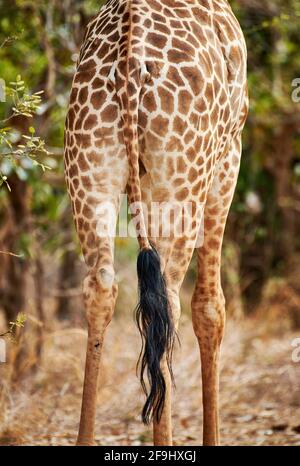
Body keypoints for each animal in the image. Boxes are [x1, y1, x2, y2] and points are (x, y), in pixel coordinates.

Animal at [63, 0, 248, 446]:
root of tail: (129, 64)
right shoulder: (229, 156)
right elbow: (211, 308)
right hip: (185, 177)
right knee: (172, 302)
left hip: (87, 167)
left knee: (101, 287)